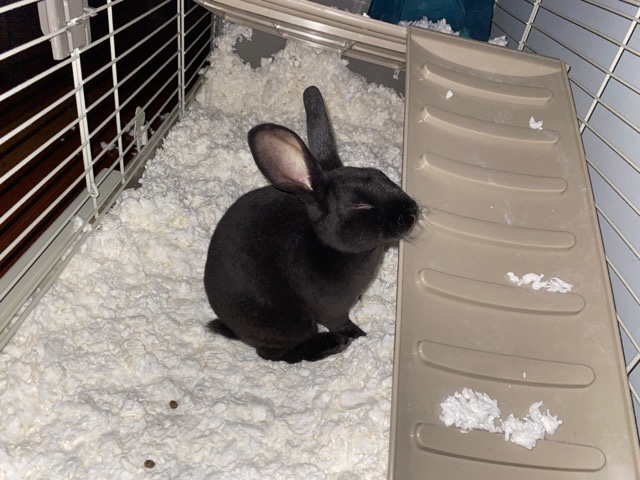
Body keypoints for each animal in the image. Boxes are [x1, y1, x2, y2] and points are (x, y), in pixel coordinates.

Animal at [203, 86, 418, 363]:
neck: (327, 244)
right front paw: (359, 335)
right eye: (360, 206)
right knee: (274, 354)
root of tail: (232, 327)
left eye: (382, 175)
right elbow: (340, 322)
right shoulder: (331, 309)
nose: (412, 211)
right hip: (288, 322)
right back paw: (331, 345)